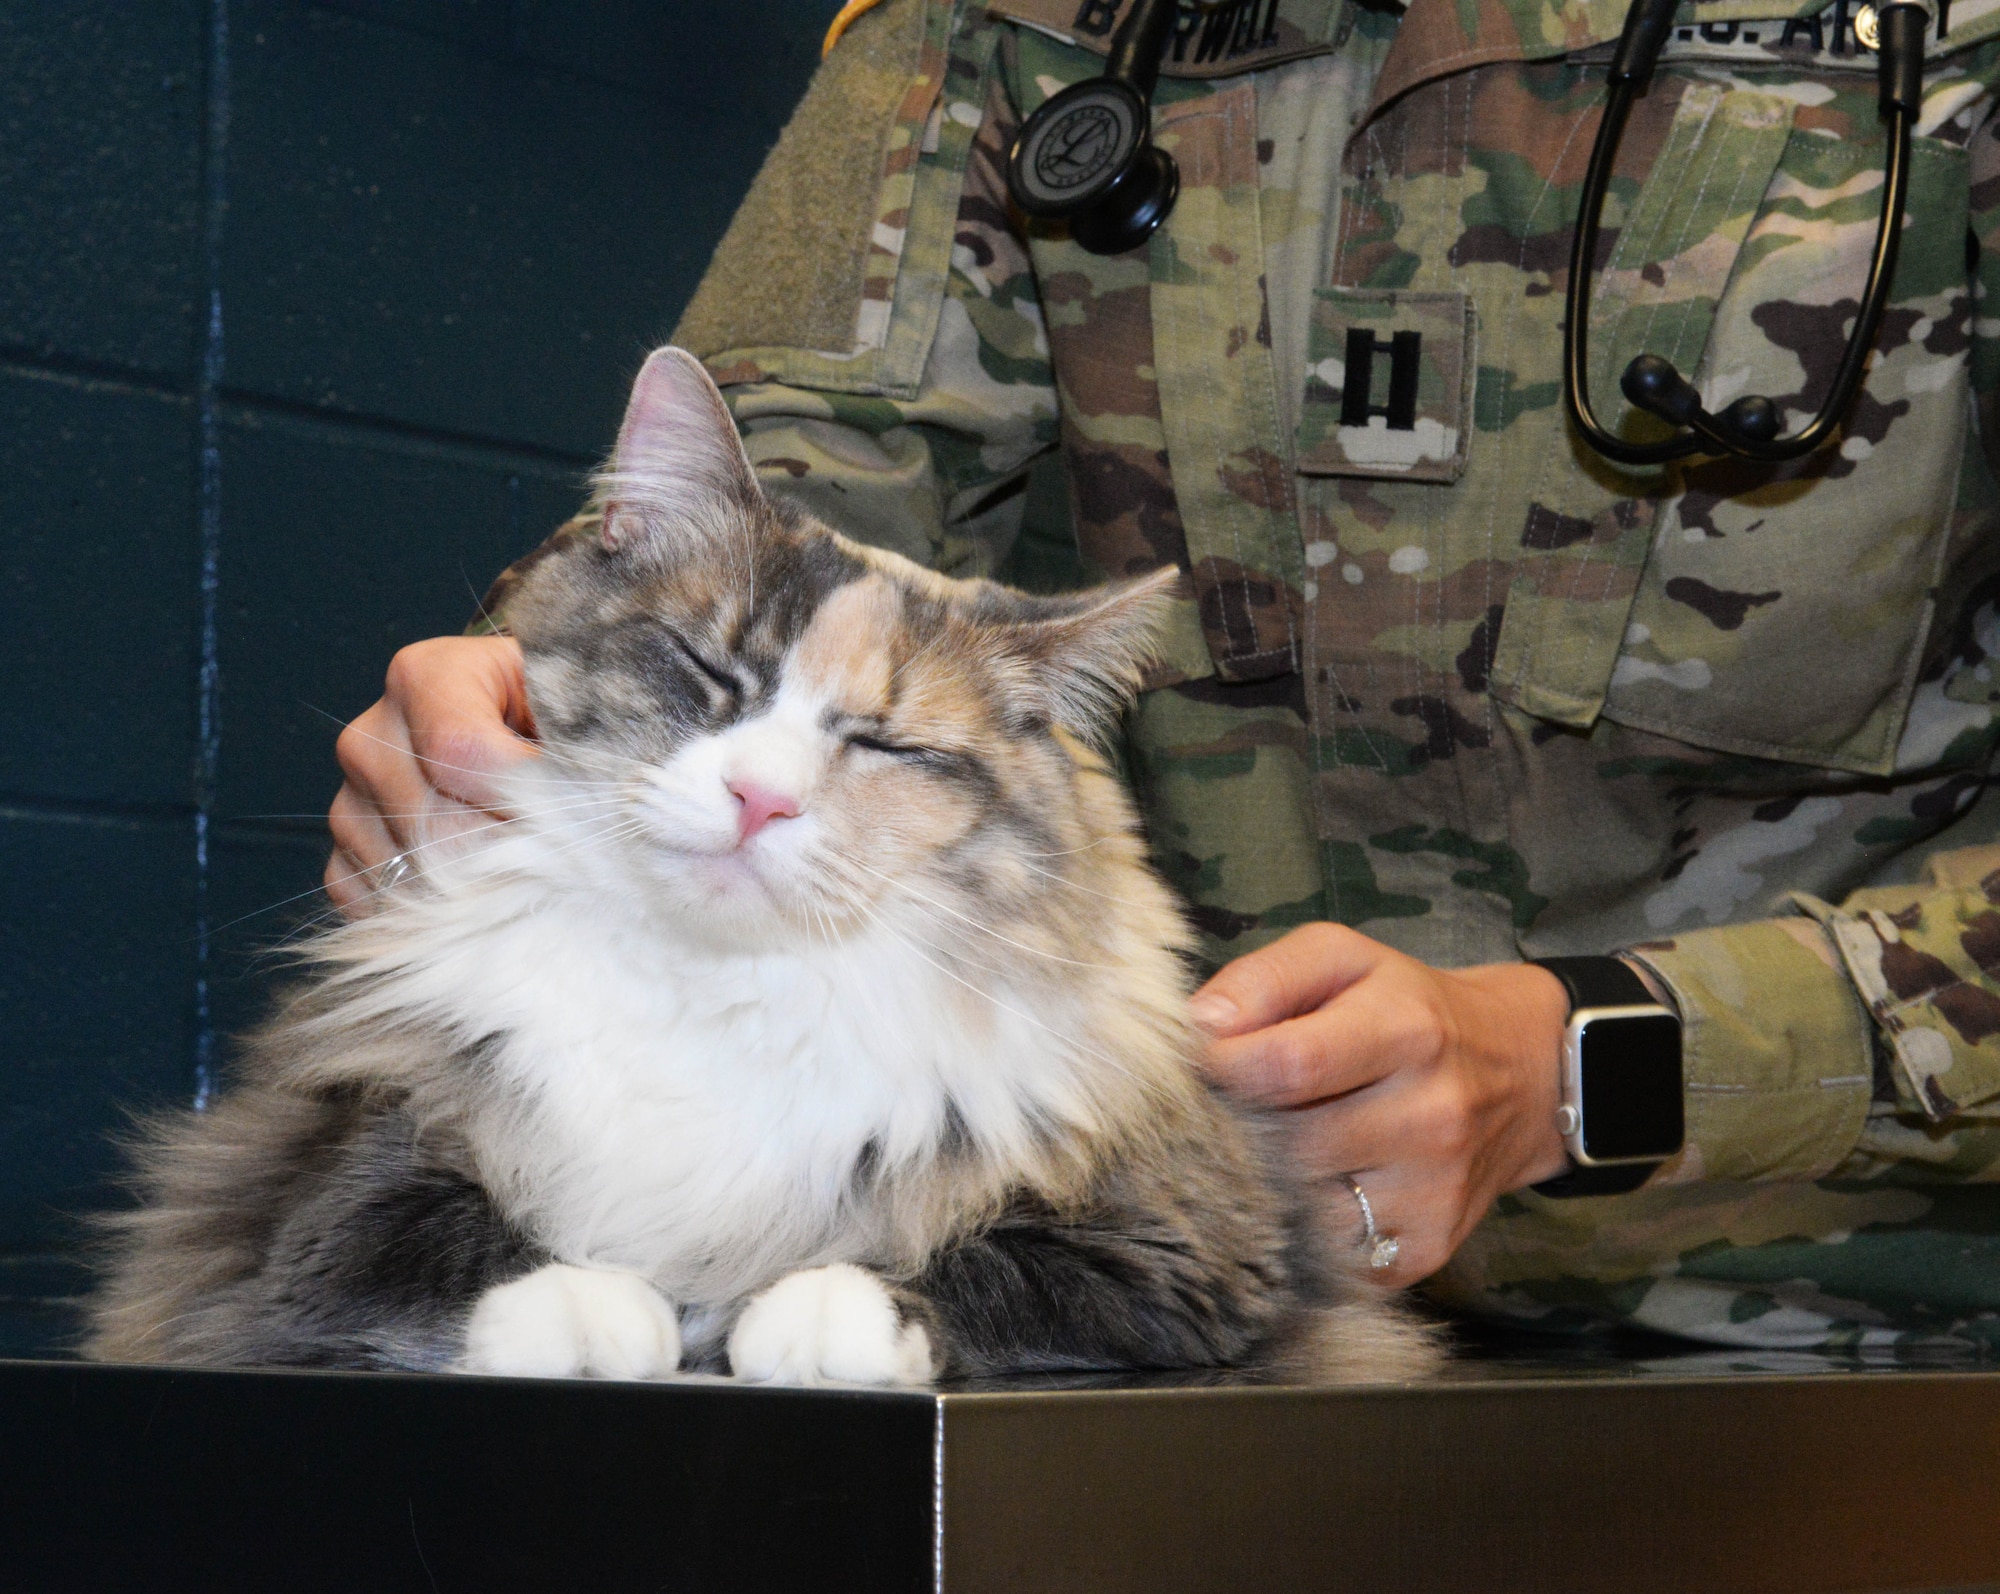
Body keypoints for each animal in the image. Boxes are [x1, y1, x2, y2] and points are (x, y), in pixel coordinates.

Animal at [86, 346, 1440, 1384]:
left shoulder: (1193, 1253)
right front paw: (593, 1308)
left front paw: (816, 1314)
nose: (758, 799)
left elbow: (969, 1266)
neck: (715, 989)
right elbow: (454, 1240)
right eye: (711, 672)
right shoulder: (309, 1196)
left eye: (883, 743)